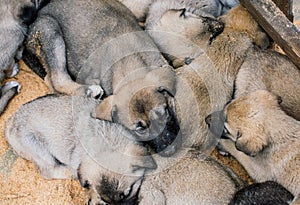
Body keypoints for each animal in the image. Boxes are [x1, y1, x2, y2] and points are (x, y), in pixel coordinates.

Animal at [5, 95, 157, 205]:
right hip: (38, 150)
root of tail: (10, 121)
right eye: (105, 200)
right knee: (49, 170)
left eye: (128, 193)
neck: (107, 139)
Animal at [23, 0, 179, 155]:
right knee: (55, 79)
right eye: (139, 129)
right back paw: (89, 91)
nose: (171, 150)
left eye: (165, 112)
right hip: (49, 30)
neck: (130, 64)